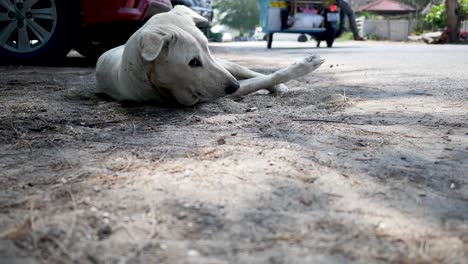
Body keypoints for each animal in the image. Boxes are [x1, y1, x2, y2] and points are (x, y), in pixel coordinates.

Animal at [94, 5, 322, 106]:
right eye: (193, 62)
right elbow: (259, 81)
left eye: (208, 50)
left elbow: (261, 78)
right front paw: (303, 66)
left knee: (248, 72)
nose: (234, 86)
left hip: (228, 65)